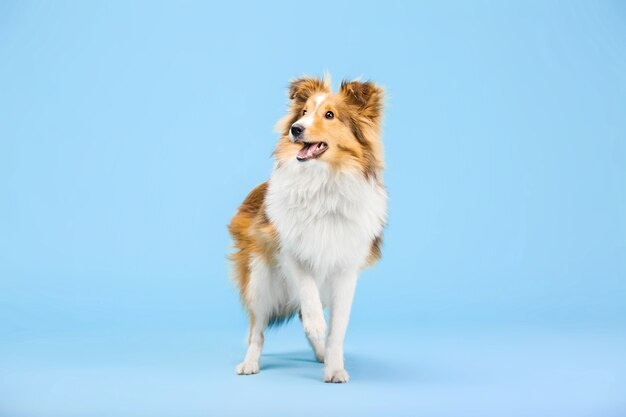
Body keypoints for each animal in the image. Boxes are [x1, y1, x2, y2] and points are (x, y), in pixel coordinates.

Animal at [229, 75, 386, 380]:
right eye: (303, 112)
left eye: (329, 115)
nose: (295, 129)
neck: (324, 182)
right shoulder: (289, 248)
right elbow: (306, 289)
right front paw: (316, 322)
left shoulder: (346, 269)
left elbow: (337, 329)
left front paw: (334, 367)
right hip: (259, 278)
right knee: (257, 331)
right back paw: (250, 363)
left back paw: (322, 354)